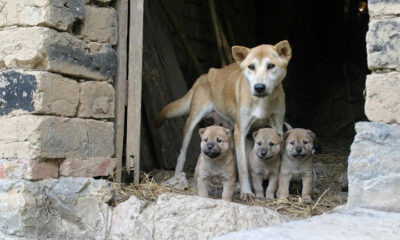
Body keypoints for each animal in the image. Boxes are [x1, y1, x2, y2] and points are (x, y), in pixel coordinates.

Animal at [154, 41, 290, 201]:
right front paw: (246, 192)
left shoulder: (276, 128)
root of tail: (205, 75)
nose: (259, 87)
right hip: (192, 122)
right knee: (181, 155)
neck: (263, 102)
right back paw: (176, 178)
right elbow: (243, 168)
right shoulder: (240, 131)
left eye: (271, 66)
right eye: (251, 66)